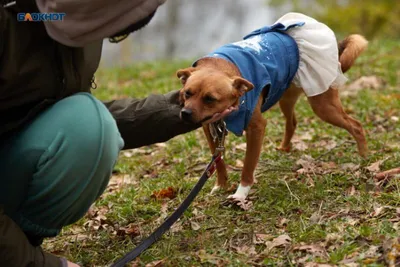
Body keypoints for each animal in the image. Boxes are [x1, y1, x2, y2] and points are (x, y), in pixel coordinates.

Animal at [177, 23, 368, 201]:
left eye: (210, 99)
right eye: (187, 93)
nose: (185, 113)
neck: (223, 65)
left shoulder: (256, 128)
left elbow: (248, 165)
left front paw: (240, 194)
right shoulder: (210, 128)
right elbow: (218, 161)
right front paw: (221, 185)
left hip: (323, 105)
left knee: (356, 125)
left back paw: (363, 156)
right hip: (286, 97)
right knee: (292, 123)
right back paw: (284, 148)